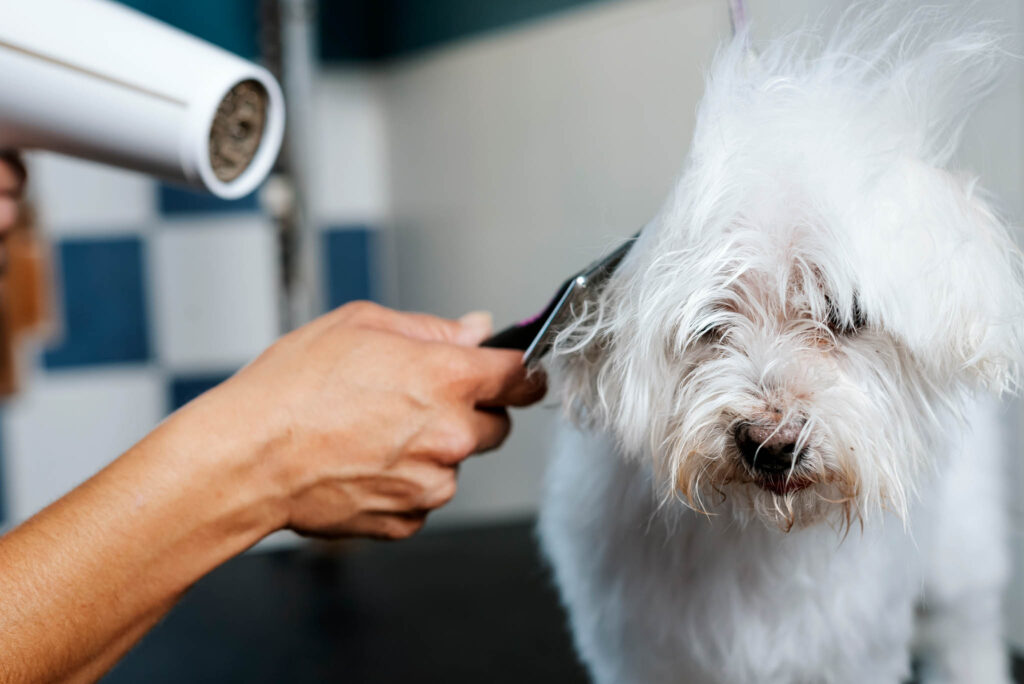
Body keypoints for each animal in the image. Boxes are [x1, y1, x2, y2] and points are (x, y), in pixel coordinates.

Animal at [540, 6, 1019, 684]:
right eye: (709, 324)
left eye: (843, 313)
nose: (770, 443)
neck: (759, 535)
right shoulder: (642, 650)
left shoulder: (850, 651)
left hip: (960, 553)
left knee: (967, 629)